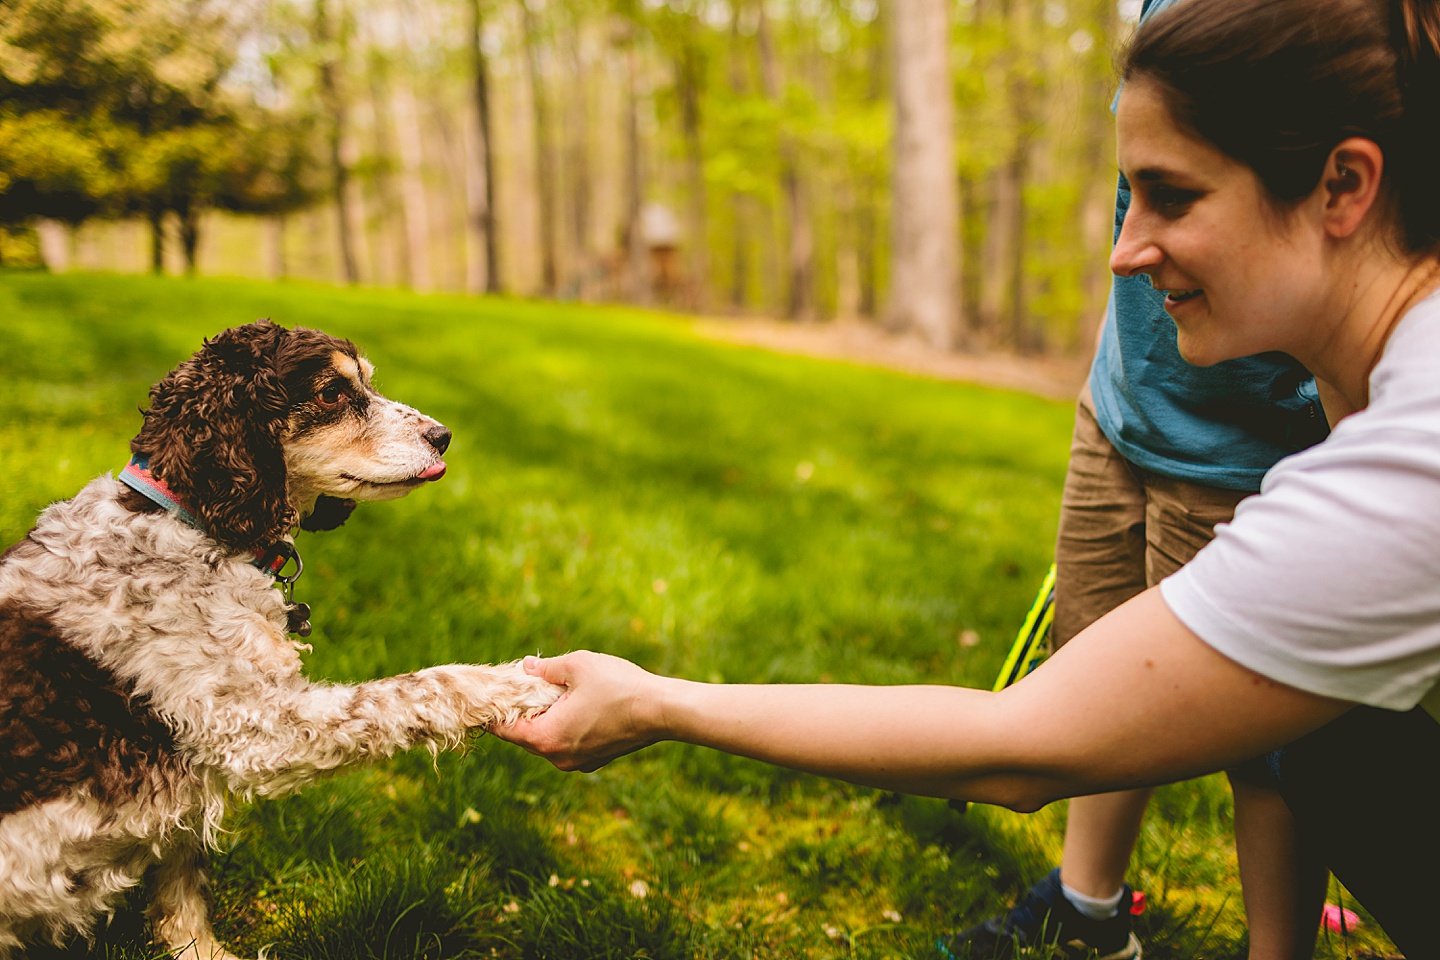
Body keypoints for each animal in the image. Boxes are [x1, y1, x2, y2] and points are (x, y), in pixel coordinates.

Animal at [0, 322, 558, 960]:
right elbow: (419, 688)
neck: (190, 522)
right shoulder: (254, 726)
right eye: (332, 393)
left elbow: (182, 893)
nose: (443, 437)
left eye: (367, 381)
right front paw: (514, 682)